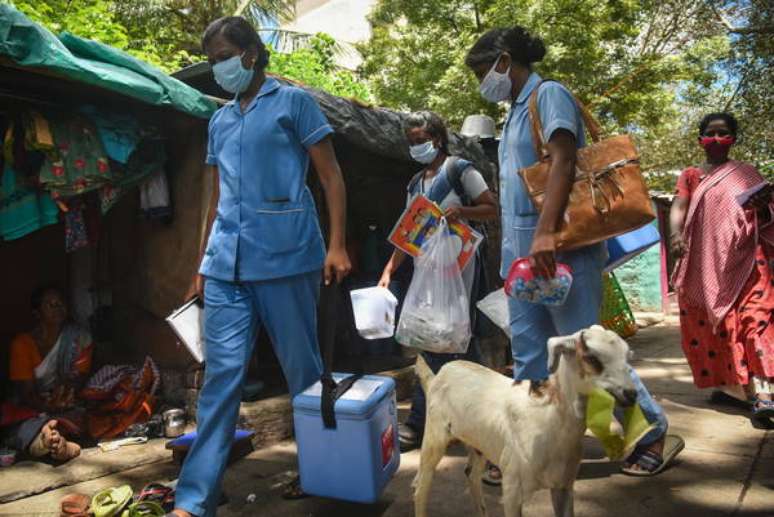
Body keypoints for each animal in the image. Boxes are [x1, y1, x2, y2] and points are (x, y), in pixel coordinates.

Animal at [416, 326, 640, 516]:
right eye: (591, 357)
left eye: (627, 357)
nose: (631, 394)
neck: (548, 421)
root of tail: (439, 374)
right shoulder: (512, 490)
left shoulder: (564, 486)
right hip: (434, 436)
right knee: (420, 485)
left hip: (478, 445)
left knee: (471, 474)